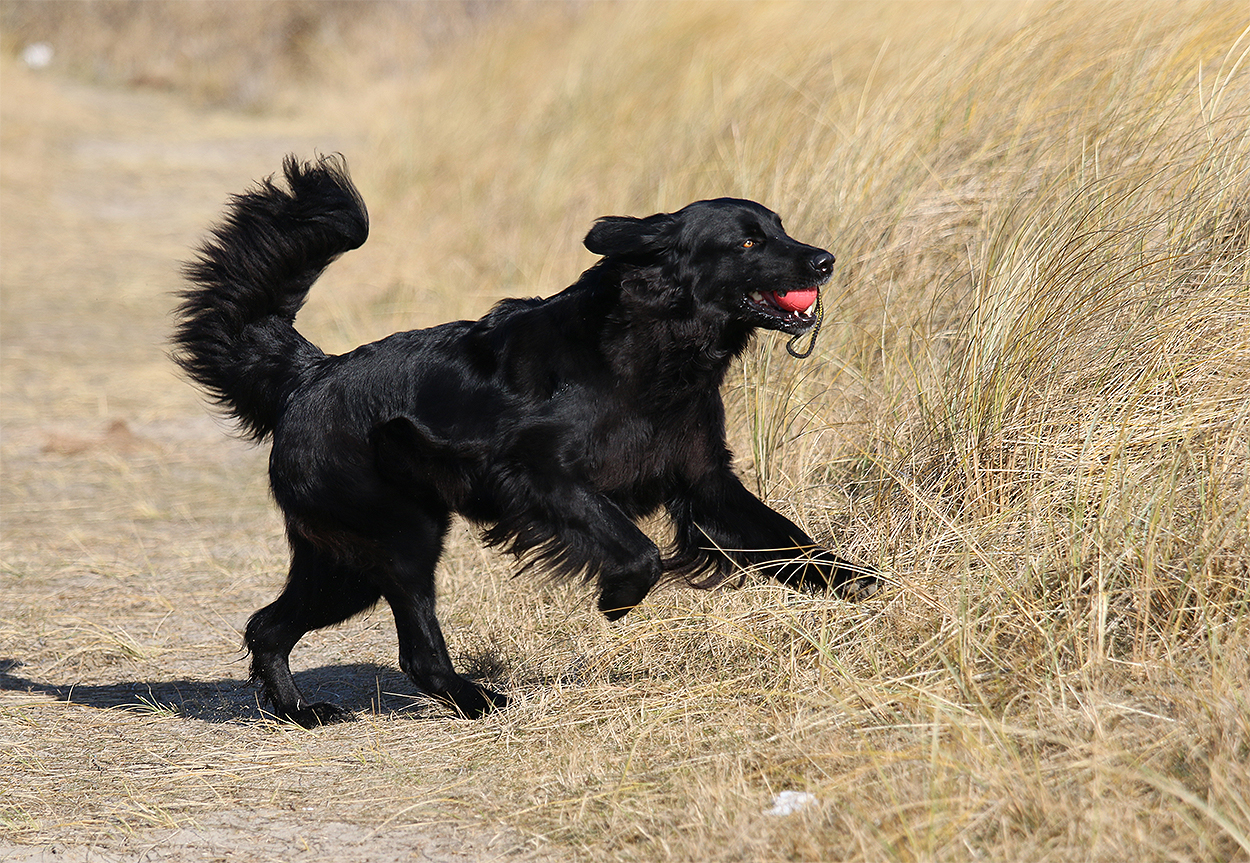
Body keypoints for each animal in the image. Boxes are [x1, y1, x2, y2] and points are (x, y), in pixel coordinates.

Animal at [173, 155, 877, 727]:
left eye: (781, 228)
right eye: (749, 239)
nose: (825, 261)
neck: (655, 348)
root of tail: (309, 375)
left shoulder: (706, 485)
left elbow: (798, 545)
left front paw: (865, 587)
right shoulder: (533, 474)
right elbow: (639, 550)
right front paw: (617, 599)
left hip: (345, 561)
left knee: (268, 626)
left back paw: (300, 712)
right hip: (398, 538)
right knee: (414, 651)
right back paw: (476, 699)